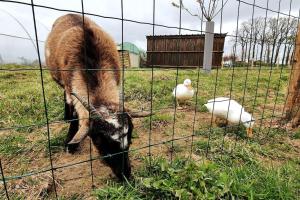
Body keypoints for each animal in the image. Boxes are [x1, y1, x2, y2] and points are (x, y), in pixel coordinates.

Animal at [44, 13, 150, 180]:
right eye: (99, 142)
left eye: (130, 139)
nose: (125, 175)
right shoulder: (69, 86)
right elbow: (75, 114)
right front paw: (70, 144)